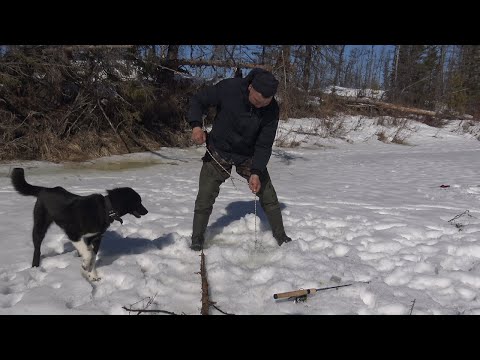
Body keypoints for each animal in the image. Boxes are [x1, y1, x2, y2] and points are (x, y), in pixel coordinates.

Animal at [10, 167, 148, 282]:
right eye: (138, 201)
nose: (146, 211)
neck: (105, 209)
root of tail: (44, 189)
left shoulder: (95, 238)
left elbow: (92, 256)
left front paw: (91, 274)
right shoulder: (73, 234)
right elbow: (89, 254)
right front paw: (85, 265)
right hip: (40, 225)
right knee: (37, 247)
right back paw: (35, 266)